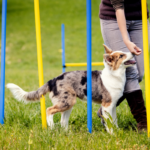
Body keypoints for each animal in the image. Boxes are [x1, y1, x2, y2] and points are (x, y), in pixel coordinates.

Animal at [6, 44, 135, 134]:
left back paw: (66, 133)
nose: (133, 51)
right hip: (66, 102)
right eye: (121, 56)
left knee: (63, 121)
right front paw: (112, 134)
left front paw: (117, 131)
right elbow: (109, 122)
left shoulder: (112, 105)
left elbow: (114, 120)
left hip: (69, 103)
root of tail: (53, 80)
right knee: (49, 110)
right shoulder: (107, 105)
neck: (115, 75)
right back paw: (52, 128)